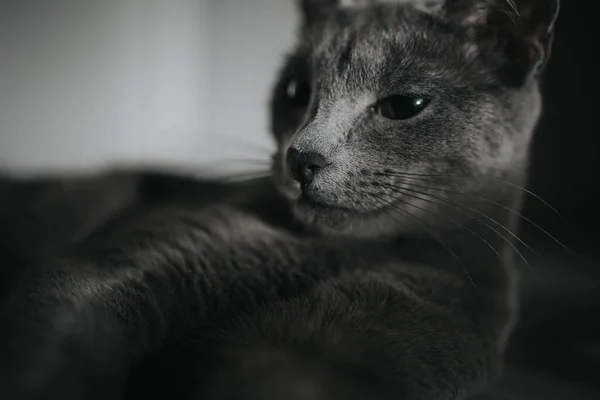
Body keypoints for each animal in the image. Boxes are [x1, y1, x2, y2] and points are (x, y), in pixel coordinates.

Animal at [0, 0, 560, 398]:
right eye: (295, 91)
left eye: (404, 105)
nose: (302, 157)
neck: (345, 253)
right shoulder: (117, 270)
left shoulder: (353, 347)